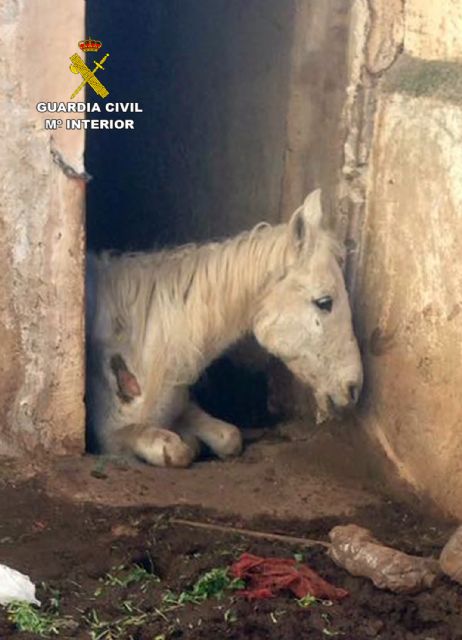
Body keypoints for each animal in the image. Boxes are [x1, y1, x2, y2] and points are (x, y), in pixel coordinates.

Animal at [86, 189, 363, 467]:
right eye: (325, 302)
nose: (354, 387)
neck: (142, 345)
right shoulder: (111, 438)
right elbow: (177, 450)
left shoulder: (185, 408)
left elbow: (228, 436)